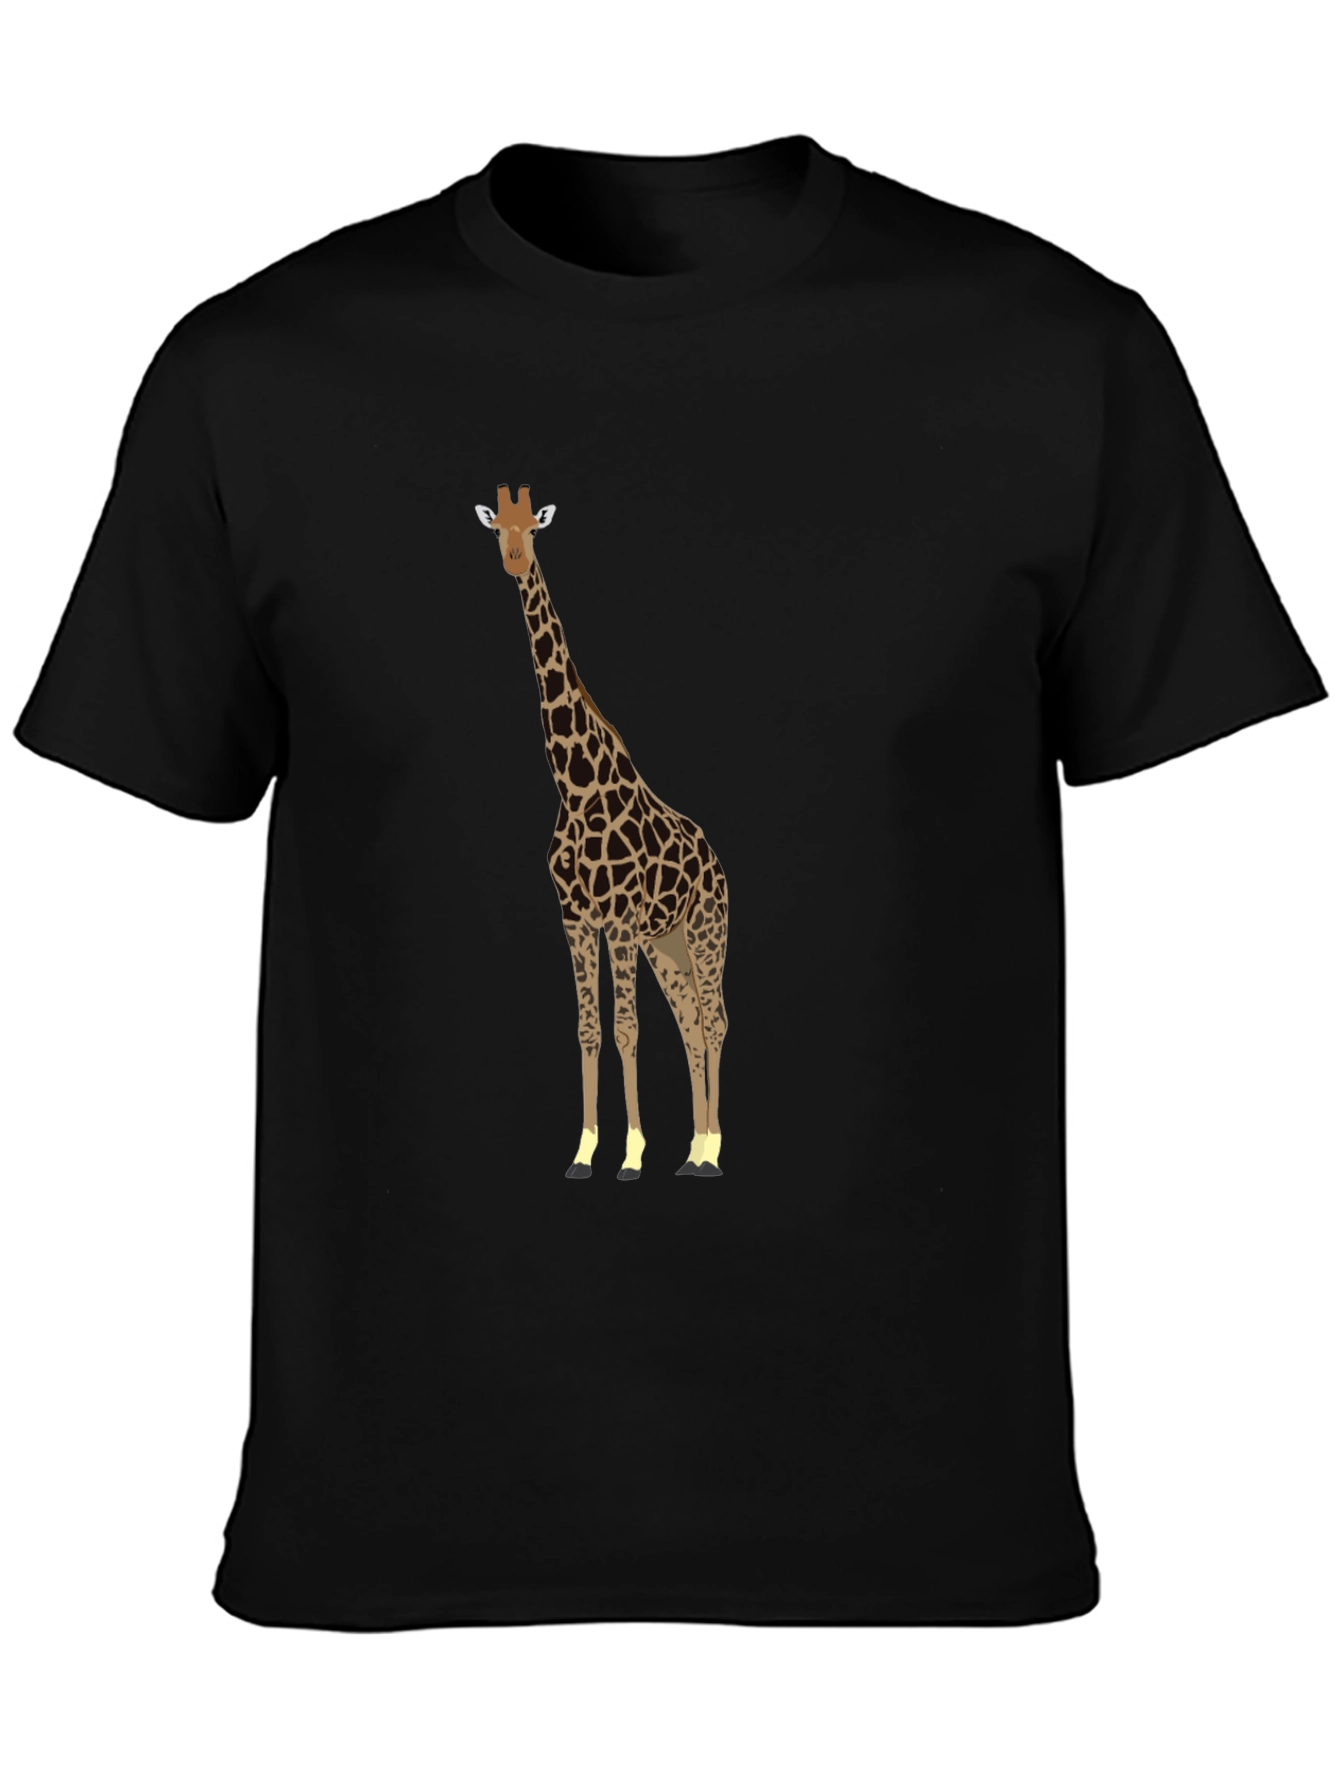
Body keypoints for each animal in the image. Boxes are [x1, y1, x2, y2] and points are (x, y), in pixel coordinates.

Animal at [474, 486, 728, 1181]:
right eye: (497, 527)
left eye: (534, 528)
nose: (513, 560)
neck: (575, 785)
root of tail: (715, 858)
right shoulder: (576, 916)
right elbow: (590, 1029)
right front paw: (586, 1151)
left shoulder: (616, 918)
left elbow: (625, 1029)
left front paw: (633, 1155)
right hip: (665, 944)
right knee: (692, 1022)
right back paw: (694, 1150)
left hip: (703, 931)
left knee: (716, 1021)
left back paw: (712, 1151)